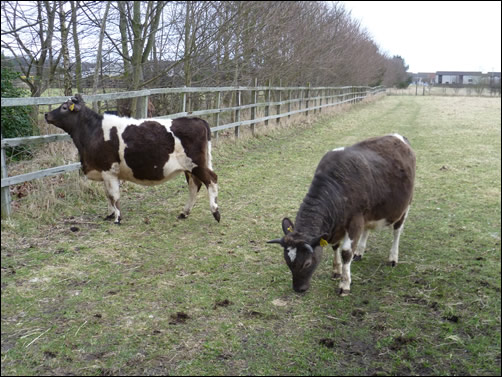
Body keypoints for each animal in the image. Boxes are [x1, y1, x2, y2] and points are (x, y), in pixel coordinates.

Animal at [45, 93, 220, 223]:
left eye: (64, 107)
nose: (46, 114)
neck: (93, 132)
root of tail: (197, 119)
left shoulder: (109, 170)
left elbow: (114, 195)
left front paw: (117, 218)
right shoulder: (104, 171)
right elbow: (108, 195)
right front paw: (110, 215)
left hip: (197, 164)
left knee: (211, 180)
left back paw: (215, 212)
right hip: (189, 168)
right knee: (194, 186)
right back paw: (184, 212)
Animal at [268, 134, 418, 296]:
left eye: (307, 263)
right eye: (287, 261)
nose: (298, 289)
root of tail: (398, 136)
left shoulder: (355, 219)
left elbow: (346, 252)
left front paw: (344, 284)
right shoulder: (339, 225)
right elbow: (335, 246)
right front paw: (336, 271)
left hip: (405, 205)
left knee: (397, 231)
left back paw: (392, 257)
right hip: (369, 212)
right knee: (367, 229)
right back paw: (359, 252)